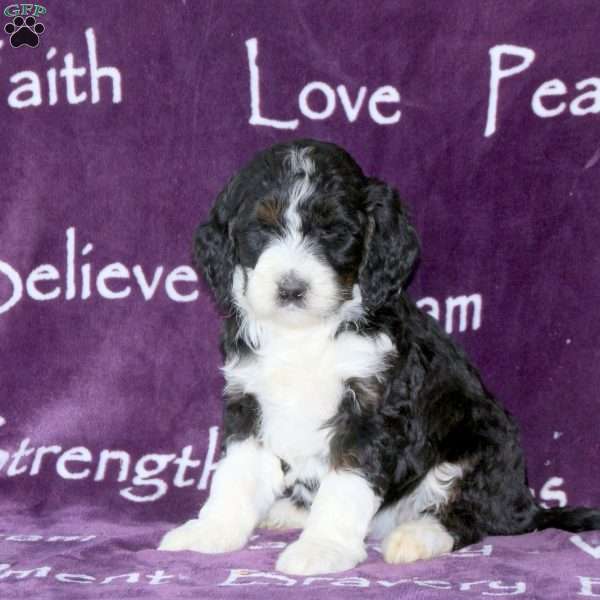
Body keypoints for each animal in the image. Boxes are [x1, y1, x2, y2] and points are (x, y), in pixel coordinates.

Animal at [159, 138, 600, 576]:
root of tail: (526, 505)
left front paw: (322, 548)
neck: (306, 332)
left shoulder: (372, 411)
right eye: (261, 229)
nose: (291, 288)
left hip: (479, 446)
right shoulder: (250, 401)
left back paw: (416, 536)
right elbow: (236, 474)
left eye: (334, 232)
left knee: (470, 515)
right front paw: (212, 530)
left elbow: (346, 484)